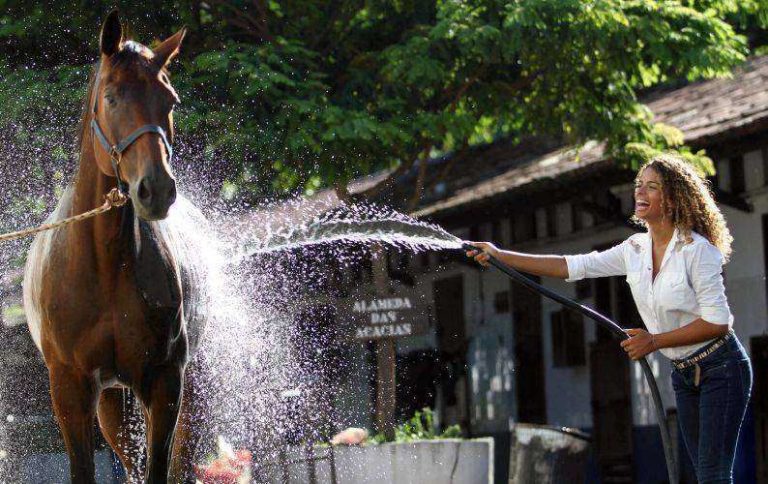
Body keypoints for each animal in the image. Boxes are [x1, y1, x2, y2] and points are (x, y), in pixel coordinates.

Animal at [23, 10, 208, 483]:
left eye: (170, 100)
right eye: (111, 97)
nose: (156, 190)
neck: (104, 264)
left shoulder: (165, 382)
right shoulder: (71, 388)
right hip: (111, 403)